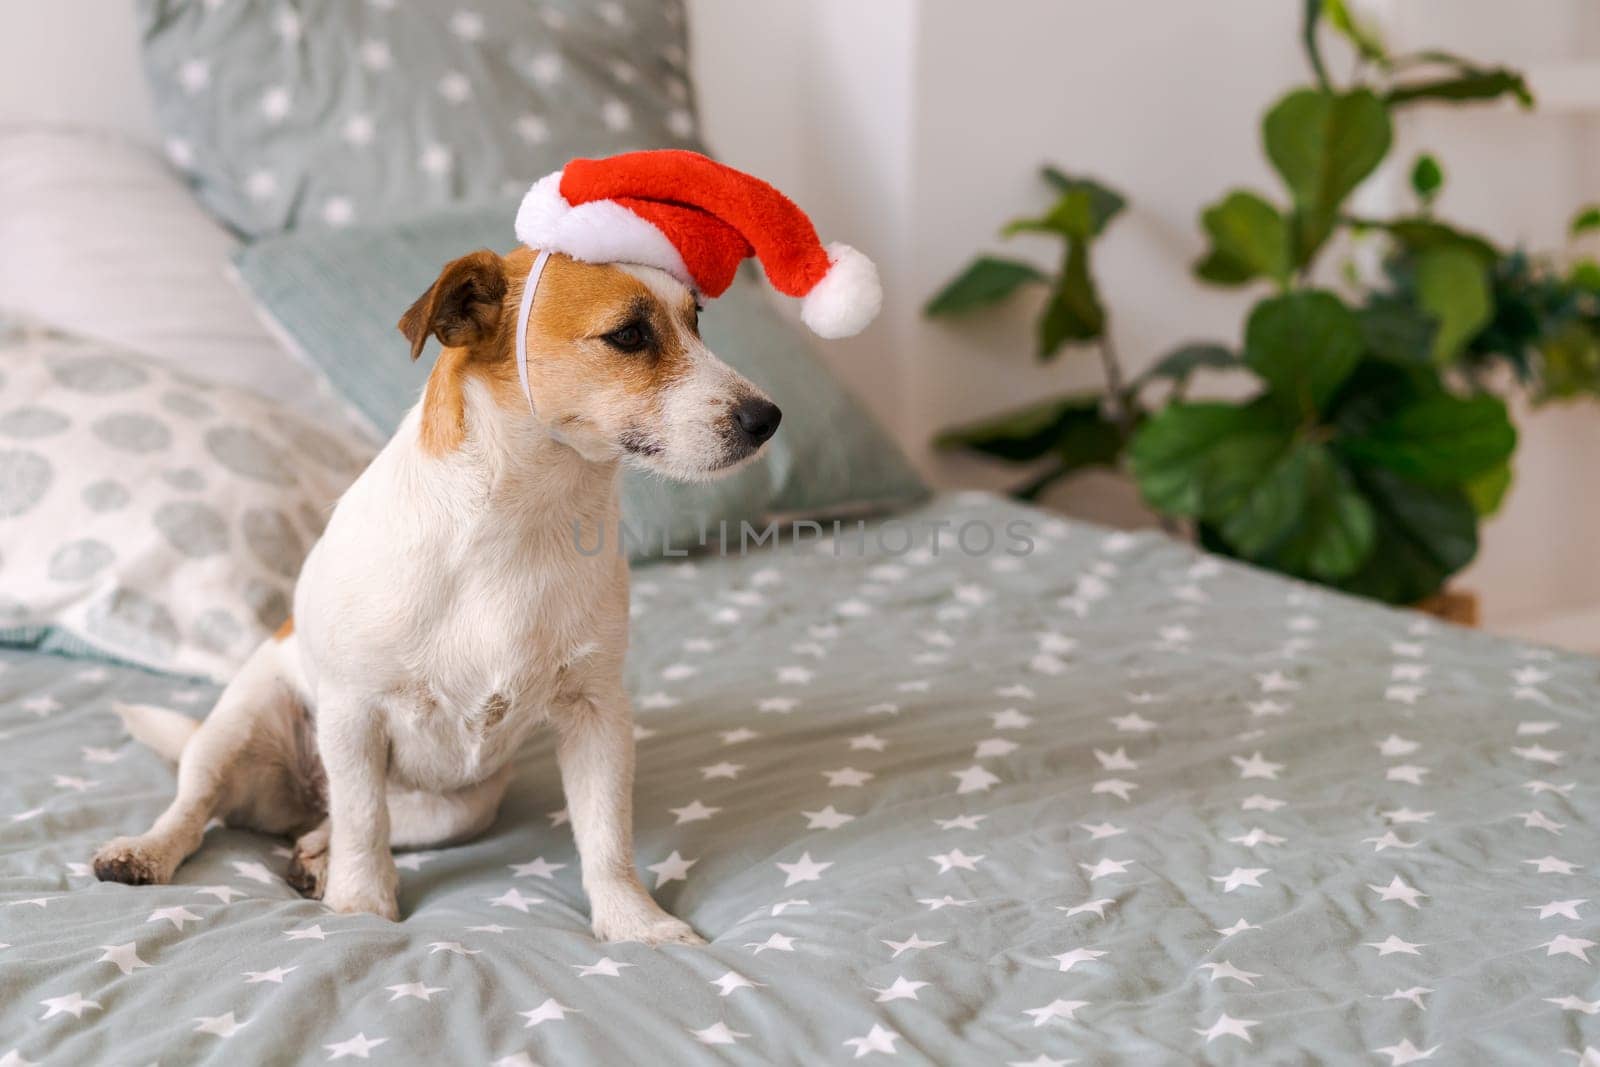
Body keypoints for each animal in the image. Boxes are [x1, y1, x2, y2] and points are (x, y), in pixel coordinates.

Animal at [93, 247, 780, 940]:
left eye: (697, 322)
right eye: (630, 335)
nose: (768, 418)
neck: (522, 519)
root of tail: (297, 797)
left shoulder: (597, 713)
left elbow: (607, 834)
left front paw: (633, 921)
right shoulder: (354, 712)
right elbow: (364, 822)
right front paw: (361, 907)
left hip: (465, 804)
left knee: (363, 819)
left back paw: (314, 850)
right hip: (234, 728)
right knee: (204, 807)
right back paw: (147, 852)